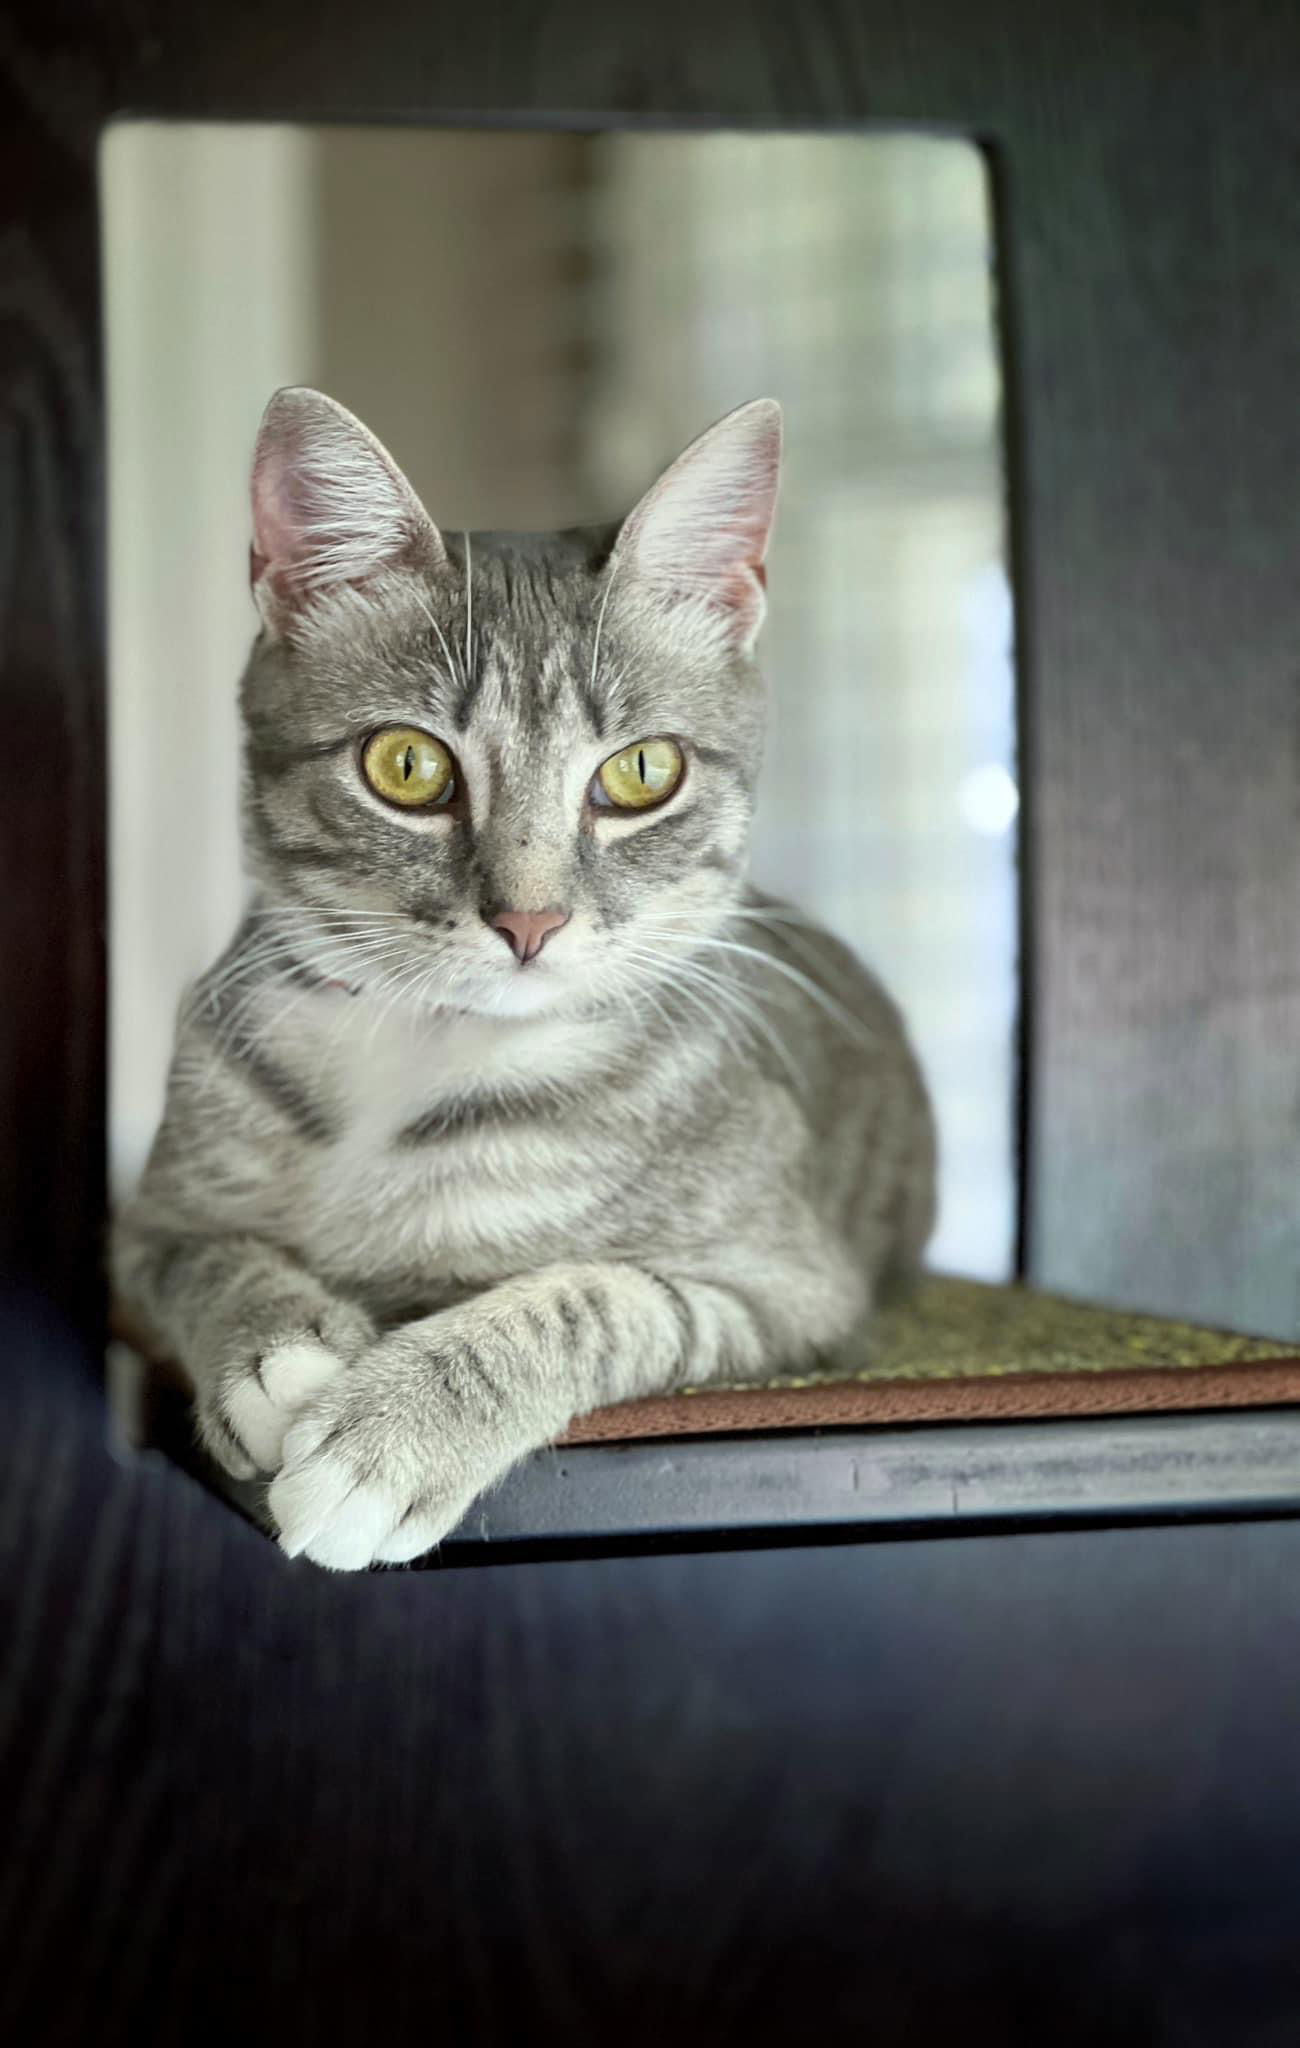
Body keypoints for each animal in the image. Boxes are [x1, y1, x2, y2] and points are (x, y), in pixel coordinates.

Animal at [114, 387, 937, 1564]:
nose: (529, 920)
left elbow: (596, 1299)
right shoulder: (149, 1224)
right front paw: (276, 1355)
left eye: (642, 771)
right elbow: (207, 1256)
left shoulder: (787, 1286)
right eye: (407, 765)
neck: (424, 1047)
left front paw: (388, 1432)